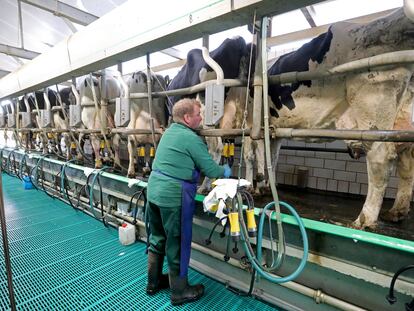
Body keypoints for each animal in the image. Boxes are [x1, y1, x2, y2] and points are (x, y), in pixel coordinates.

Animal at [266, 7, 414, 229]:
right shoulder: (275, 131)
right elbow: (272, 156)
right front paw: (266, 185)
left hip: (373, 99)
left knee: (380, 159)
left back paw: (364, 220)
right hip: (403, 120)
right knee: (407, 165)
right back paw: (396, 212)